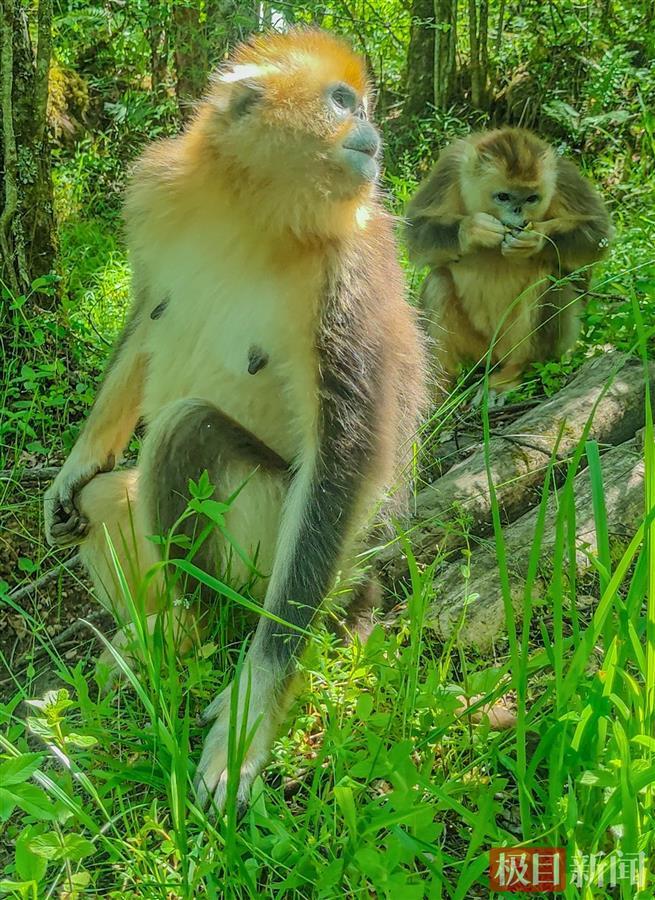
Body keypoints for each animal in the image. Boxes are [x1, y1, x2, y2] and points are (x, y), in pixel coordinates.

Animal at [408, 126, 612, 390]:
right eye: (503, 196)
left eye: (531, 198)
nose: (517, 212)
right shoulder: (450, 167)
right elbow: (416, 231)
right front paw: (474, 230)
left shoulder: (563, 174)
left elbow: (597, 233)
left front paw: (535, 239)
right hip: (478, 350)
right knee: (439, 281)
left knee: (549, 274)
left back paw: (518, 371)